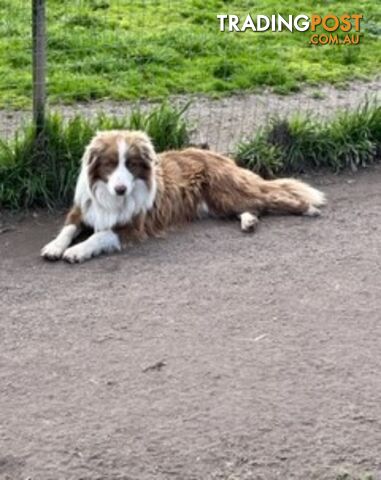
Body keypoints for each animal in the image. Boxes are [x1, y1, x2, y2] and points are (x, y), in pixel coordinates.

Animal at [41, 130, 326, 262]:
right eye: (110, 164)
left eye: (130, 164)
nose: (121, 189)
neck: (112, 197)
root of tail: (218, 155)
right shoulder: (82, 209)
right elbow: (67, 229)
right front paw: (54, 246)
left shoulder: (133, 227)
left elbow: (99, 236)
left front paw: (77, 251)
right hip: (220, 203)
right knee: (253, 208)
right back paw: (249, 221)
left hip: (227, 193)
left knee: (273, 199)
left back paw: (307, 208)